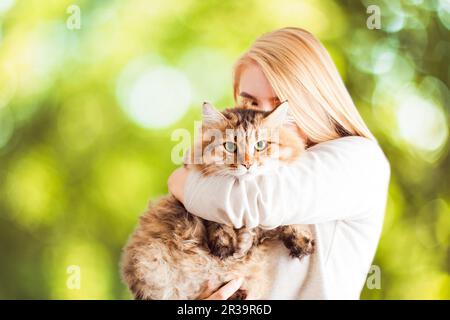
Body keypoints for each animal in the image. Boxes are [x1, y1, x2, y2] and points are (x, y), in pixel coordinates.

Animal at [121, 101, 314, 298]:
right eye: (230, 146)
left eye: (260, 145)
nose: (247, 164)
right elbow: (218, 221)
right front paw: (224, 246)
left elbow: (287, 216)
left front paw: (301, 241)